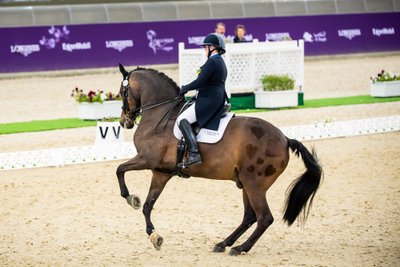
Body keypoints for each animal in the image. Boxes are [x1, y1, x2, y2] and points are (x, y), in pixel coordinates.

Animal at [115, 63, 322, 256]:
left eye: (122, 92)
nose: (124, 121)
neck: (160, 114)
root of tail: (285, 139)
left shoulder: (146, 159)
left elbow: (119, 169)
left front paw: (130, 198)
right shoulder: (161, 172)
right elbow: (147, 205)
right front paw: (154, 236)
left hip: (254, 184)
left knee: (264, 218)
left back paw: (239, 248)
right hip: (246, 184)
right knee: (249, 217)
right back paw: (223, 244)